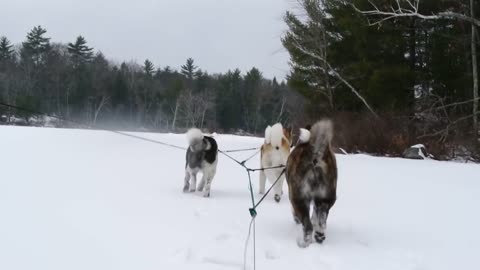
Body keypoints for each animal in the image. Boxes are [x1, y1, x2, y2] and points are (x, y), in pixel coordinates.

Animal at [284, 119, 338, 247]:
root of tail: (315, 154)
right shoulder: (318, 200)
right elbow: (316, 215)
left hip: (299, 199)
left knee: (308, 227)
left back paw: (304, 243)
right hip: (326, 197)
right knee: (322, 219)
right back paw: (319, 234)